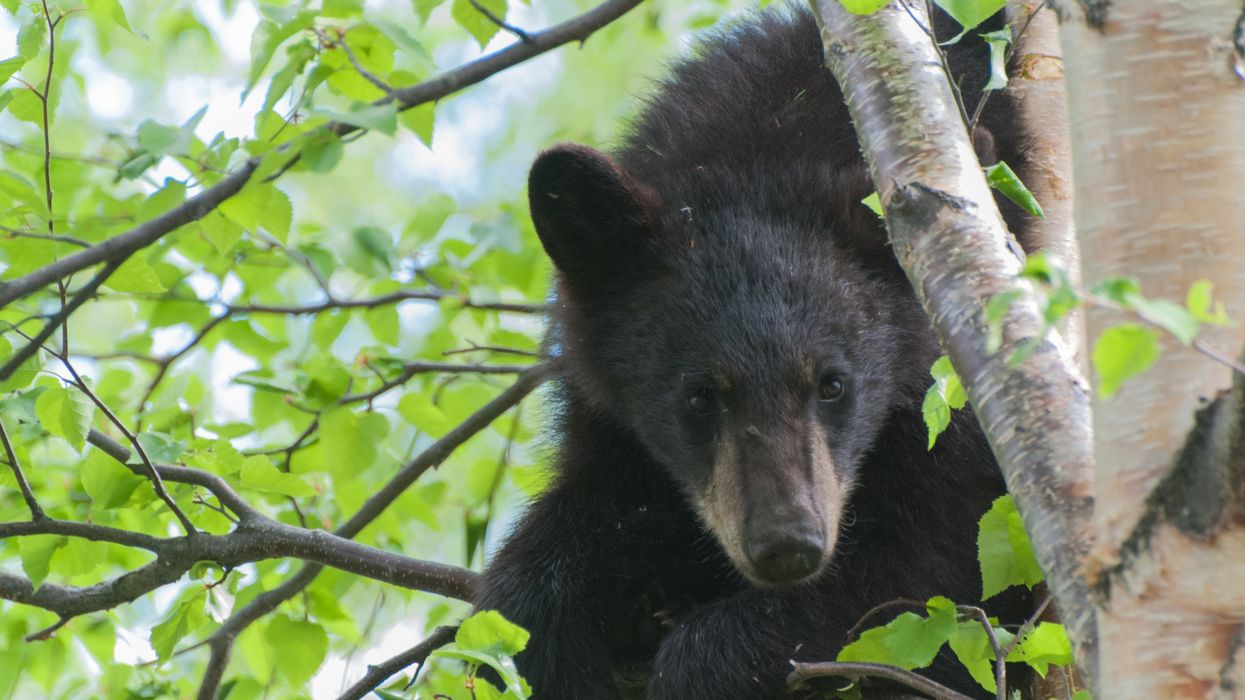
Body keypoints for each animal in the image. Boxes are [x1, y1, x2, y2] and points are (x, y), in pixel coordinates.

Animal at [474, 4, 1038, 699]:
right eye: (698, 397)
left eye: (833, 384)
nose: (789, 544)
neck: (764, 154)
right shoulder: (606, 414)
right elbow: (562, 547)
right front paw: (542, 638)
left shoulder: (958, 412)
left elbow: (930, 571)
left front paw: (703, 662)